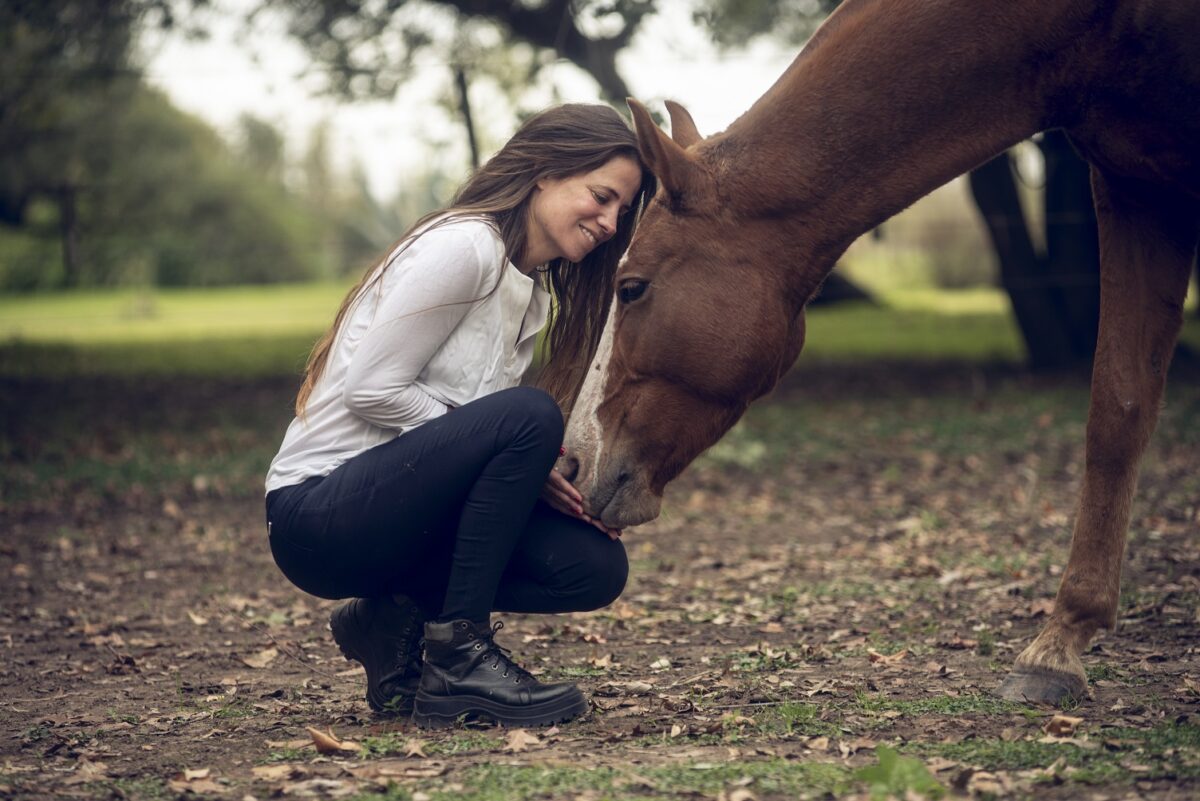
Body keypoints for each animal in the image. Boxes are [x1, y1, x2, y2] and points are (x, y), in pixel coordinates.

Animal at [559, 0, 1200, 700]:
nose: (570, 463)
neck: (1092, 27)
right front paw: (1059, 644)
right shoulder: (1135, 186)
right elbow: (1117, 412)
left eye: (631, 287)